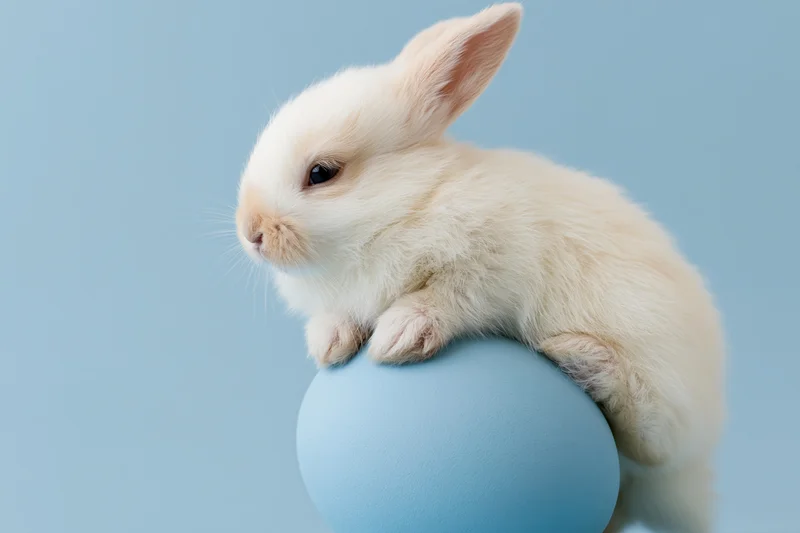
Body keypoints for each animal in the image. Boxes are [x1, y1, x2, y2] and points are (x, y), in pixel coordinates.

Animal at [234, 3, 726, 532]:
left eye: (322, 173)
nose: (251, 232)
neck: (411, 202)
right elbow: (337, 317)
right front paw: (329, 345)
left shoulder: (490, 268)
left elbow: (444, 298)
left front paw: (398, 337)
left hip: (659, 372)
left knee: (654, 434)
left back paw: (583, 359)